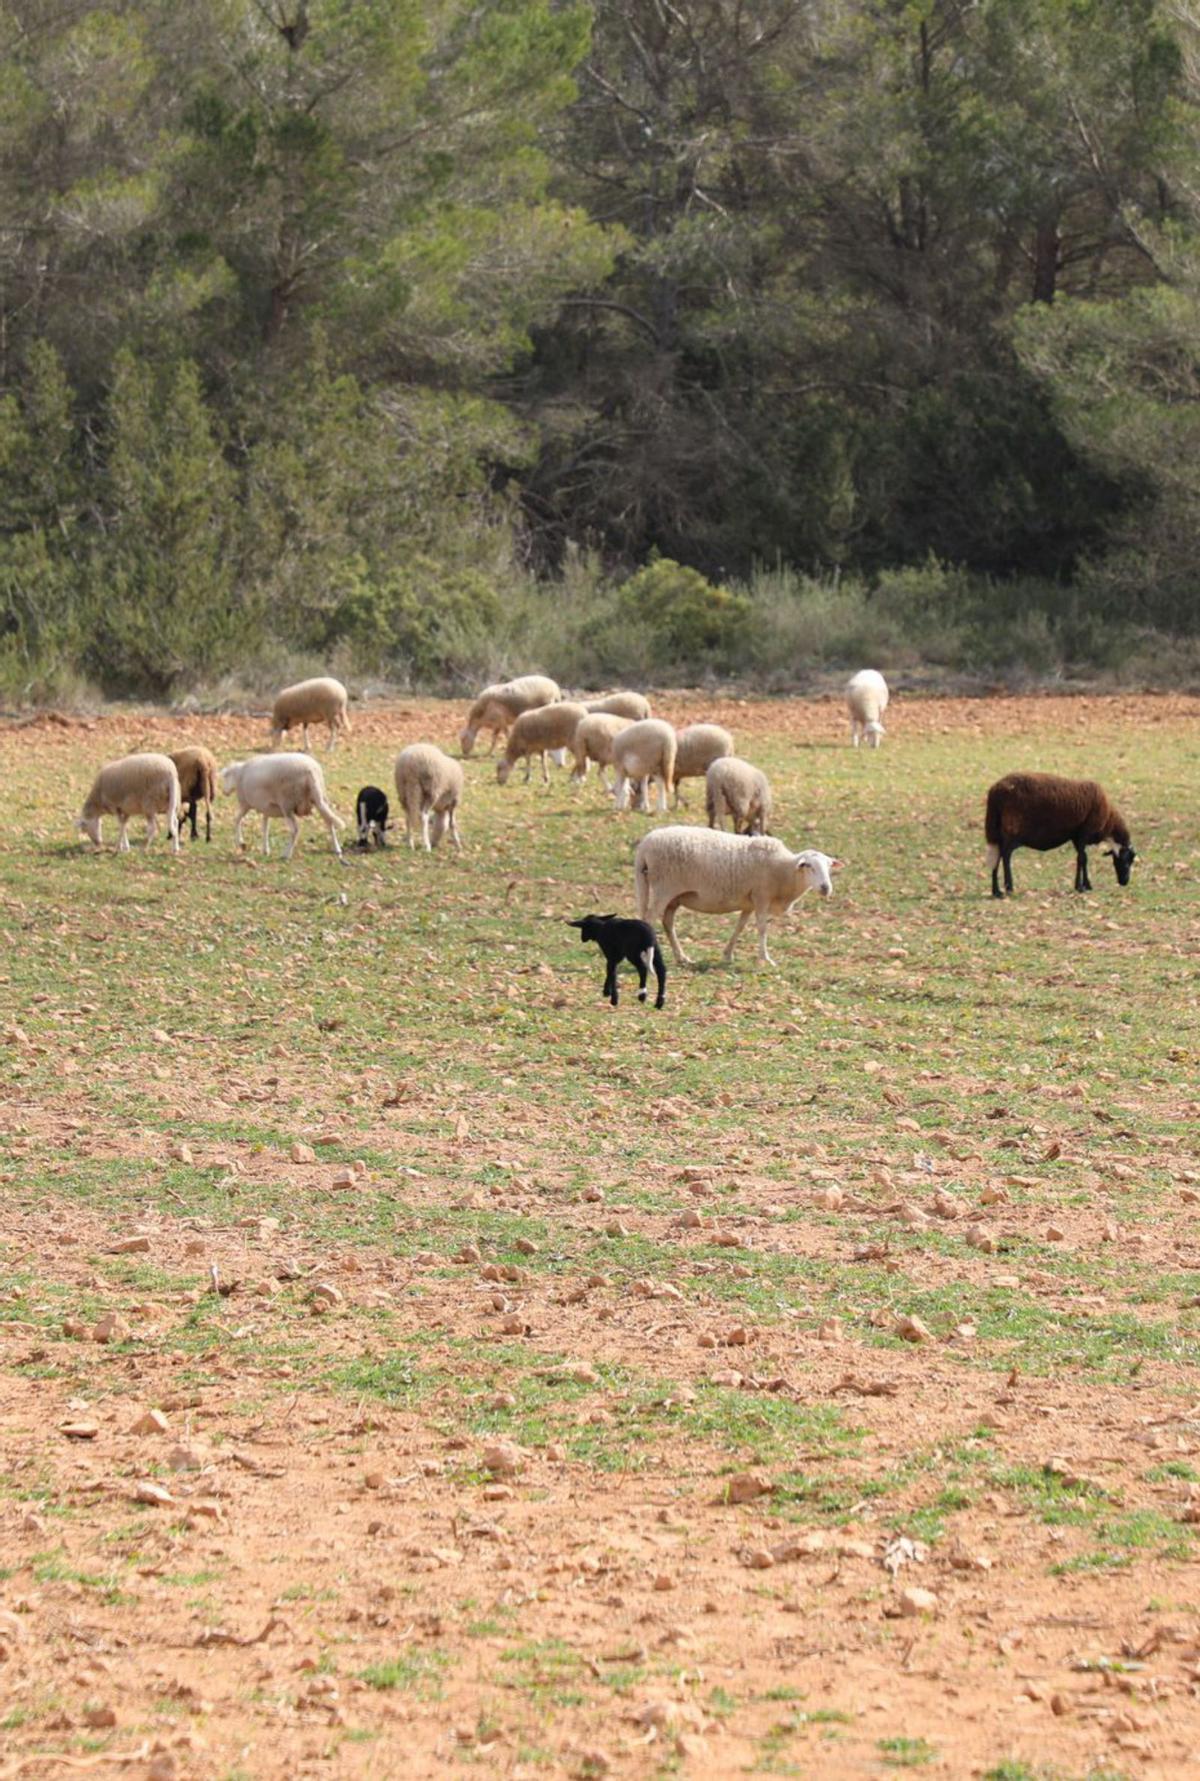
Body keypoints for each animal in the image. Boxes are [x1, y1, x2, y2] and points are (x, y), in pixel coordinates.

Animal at [630, 826, 836, 968]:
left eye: (829, 866)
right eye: (809, 866)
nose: (826, 888)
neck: (784, 870)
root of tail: (645, 844)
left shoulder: (749, 902)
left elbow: (740, 927)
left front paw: (728, 955)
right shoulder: (762, 897)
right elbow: (762, 928)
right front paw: (766, 959)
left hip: (674, 896)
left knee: (667, 923)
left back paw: (682, 958)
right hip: (663, 888)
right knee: (650, 919)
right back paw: (648, 961)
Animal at [982, 772, 1132, 897]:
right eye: (1127, 861)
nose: (1124, 882)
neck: (1108, 821)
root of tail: (995, 791)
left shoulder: (1076, 837)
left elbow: (1082, 858)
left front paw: (1083, 885)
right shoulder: (1085, 833)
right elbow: (1082, 859)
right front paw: (1081, 887)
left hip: (996, 830)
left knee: (997, 855)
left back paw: (996, 891)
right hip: (1012, 829)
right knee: (1006, 855)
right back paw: (1009, 888)